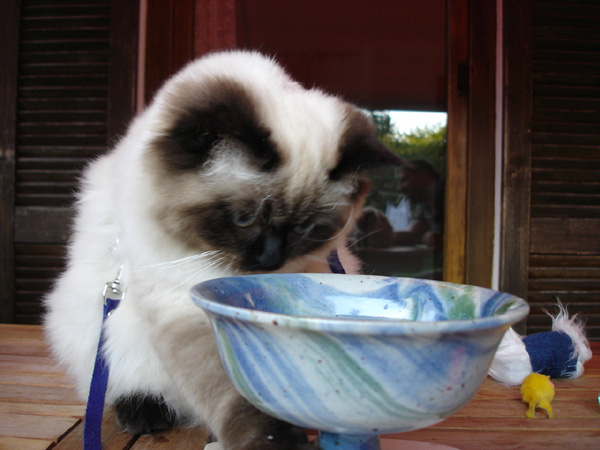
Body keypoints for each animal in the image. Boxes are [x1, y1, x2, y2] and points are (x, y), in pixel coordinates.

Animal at [44, 50, 403, 449]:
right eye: (244, 218)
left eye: (305, 227)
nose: (270, 259)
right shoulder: (185, 302)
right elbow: (237, 396)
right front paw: (276, 441)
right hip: (102, 325)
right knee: (128, 382)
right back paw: (144, 413)